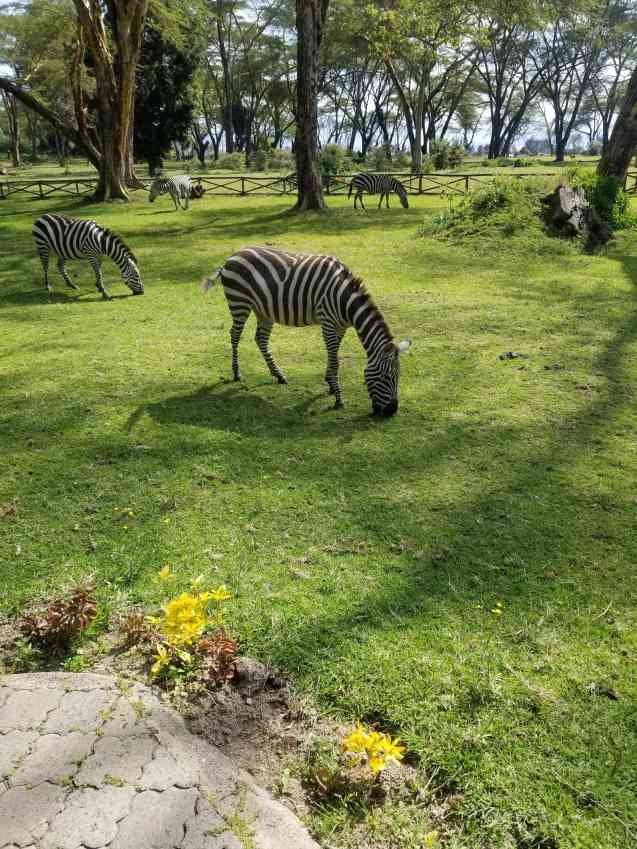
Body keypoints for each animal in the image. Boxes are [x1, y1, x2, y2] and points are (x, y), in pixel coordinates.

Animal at [202, 247, 411, 416]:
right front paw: (338, 398)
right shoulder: (327, 323)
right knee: (235, 335)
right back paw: (236, 373)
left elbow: (333, 355)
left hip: (263, 309)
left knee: (260, 339)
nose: (392, 411)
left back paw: (278, 374)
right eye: (386, 377)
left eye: (398, 377)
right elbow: (335, 361)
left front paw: (330, 384)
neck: (345, 301)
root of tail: (233, 255)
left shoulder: (340, 327)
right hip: (239, 302)